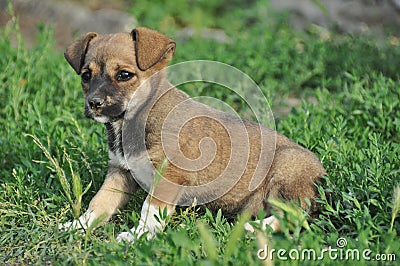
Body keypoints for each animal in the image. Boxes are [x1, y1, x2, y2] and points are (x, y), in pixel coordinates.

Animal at [61, 26, 324, 241]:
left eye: (124, 75)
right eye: (86, 75)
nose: (94, 104)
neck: (135, 120)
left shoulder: (170, 175)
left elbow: (150, 209)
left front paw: (138, 235)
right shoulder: (120, 172)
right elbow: (99, 203)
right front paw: (77, 226)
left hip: (286, 170)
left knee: (296, 218)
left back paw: (253, 229)